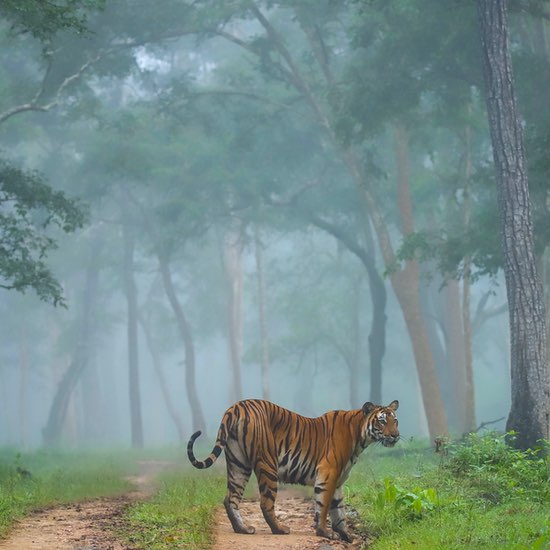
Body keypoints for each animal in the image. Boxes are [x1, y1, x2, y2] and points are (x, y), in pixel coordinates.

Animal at [189, 398, 402, 540]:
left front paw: (346, 536)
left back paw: (243, 529)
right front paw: (325, 533)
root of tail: (237, 406)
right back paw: (280, 529)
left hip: (238, 464)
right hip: (268, 465)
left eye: (395, 420)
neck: (359, 436)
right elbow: (324, 506)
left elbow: (339, 510)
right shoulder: (328, 473)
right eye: (382, 421)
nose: (396, 435)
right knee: (265, 503)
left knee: (230, 499)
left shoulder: (338, 480)